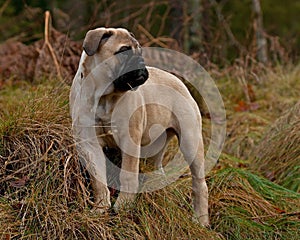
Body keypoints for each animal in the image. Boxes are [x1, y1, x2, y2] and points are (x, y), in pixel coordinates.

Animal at [69, 27, 209, 226]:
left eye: (140, 51)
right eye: (123, 51)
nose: (141, 64)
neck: (104, 97)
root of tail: (179, 81)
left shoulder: (129, 140)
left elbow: (127, 175)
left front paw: (123, 206)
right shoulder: (89, 144)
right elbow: (98, 179)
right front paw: (100, 208)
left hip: (191, 141)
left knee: (200, 183)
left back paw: (201, 219)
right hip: (155, 146)